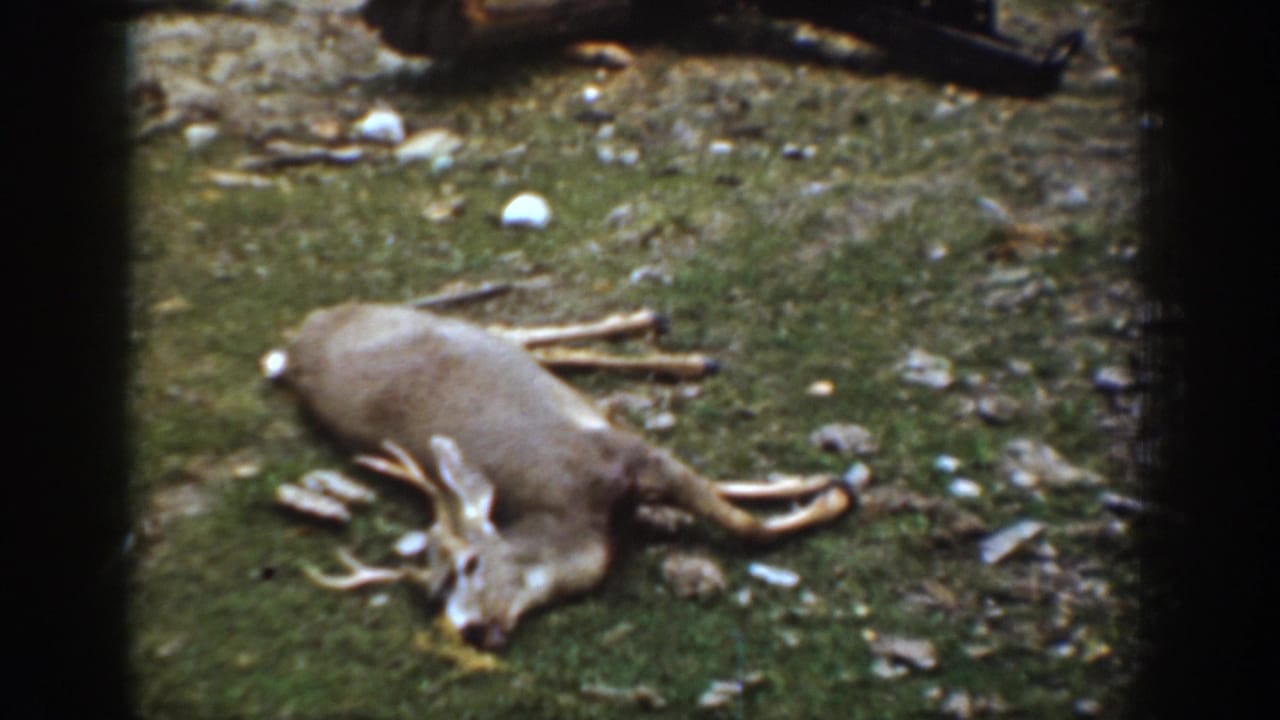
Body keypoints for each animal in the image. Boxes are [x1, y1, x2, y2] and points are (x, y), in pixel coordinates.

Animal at [264, 300, 853, 650]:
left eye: (470, 563)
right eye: (433, 593)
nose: (471, 628)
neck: (579, 518)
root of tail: (301, 338)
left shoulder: (622, 456)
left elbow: (743, 525)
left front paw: (836, 495)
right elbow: (726, 496)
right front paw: (811, 485)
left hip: (439, 322)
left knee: (515, 328)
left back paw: (669, 338)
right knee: (528, 338)